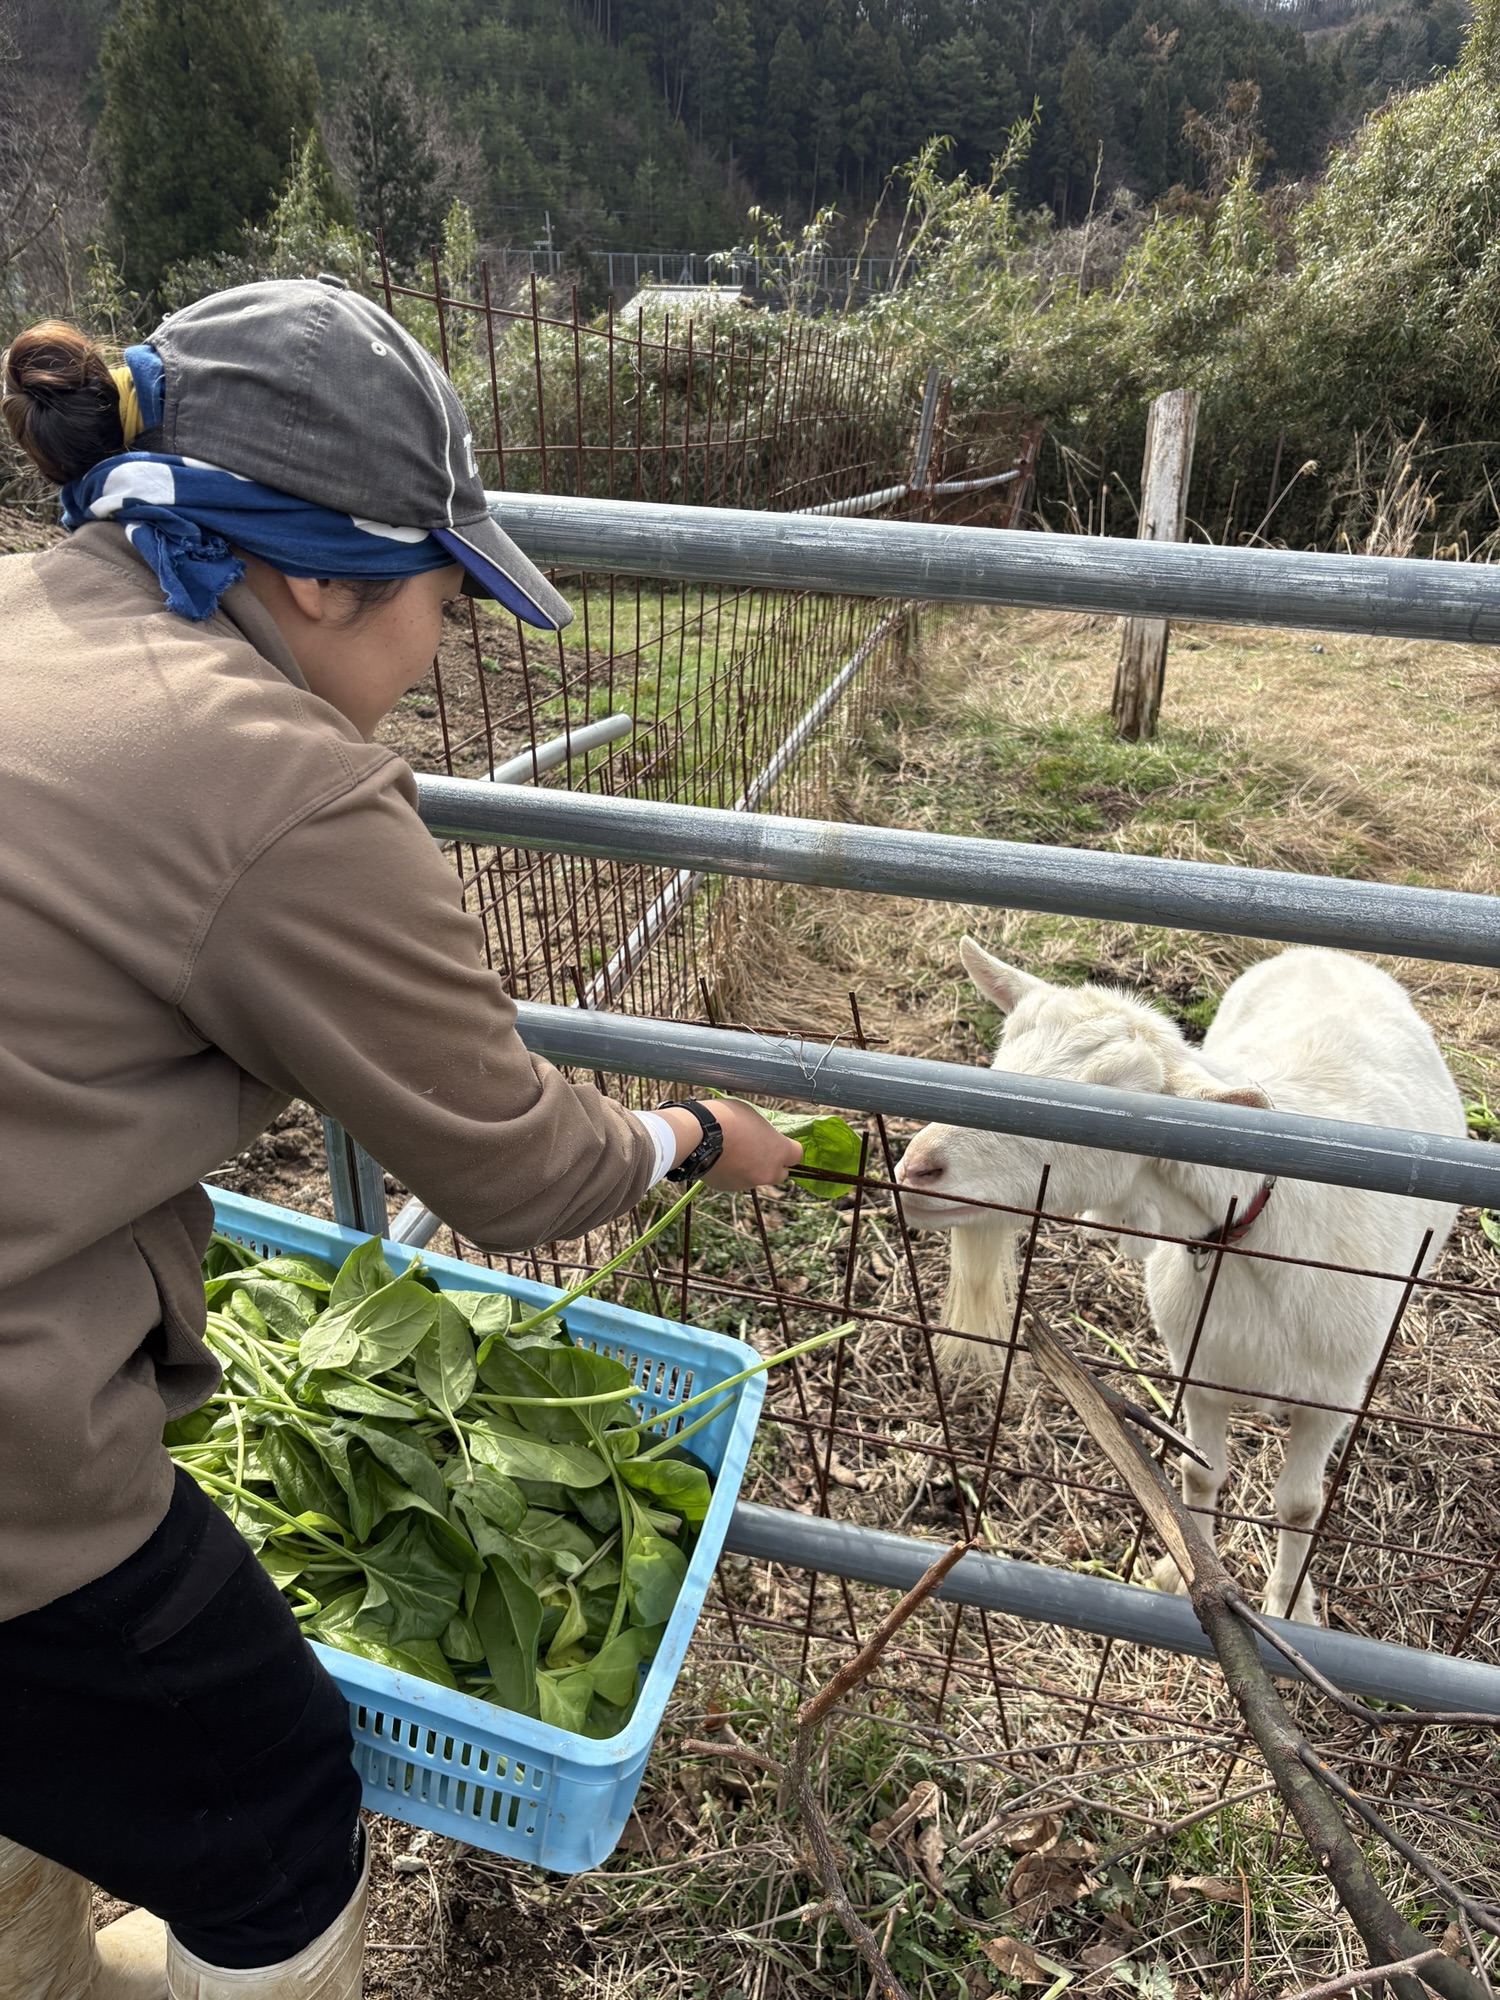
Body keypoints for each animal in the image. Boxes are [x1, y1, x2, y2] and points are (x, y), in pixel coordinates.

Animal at [895, 940, 1464, 1624]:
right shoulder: (1199, 1372)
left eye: (1110, 1109)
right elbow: (1202, 1476)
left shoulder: (1335, 1395)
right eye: (1000, 1058)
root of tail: (1324, 952)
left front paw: (1290, 1608)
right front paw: (1185, 1573)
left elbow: (1299, 1505)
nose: (918, 1167)